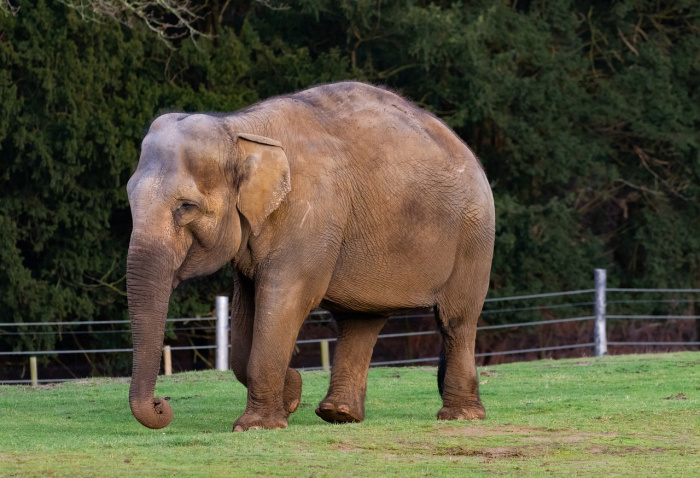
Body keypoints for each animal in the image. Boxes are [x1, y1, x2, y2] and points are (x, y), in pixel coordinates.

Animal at [127, 80, 498, 432]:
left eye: (185, 207)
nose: (162, 404)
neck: (239, 127)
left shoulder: (312, 214)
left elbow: (288, 297)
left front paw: (258, 424)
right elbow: (246, 313)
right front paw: (291, 395)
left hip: (474, 237)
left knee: (456, 320)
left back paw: (459, 416)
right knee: (360, 321)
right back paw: (339, 414)